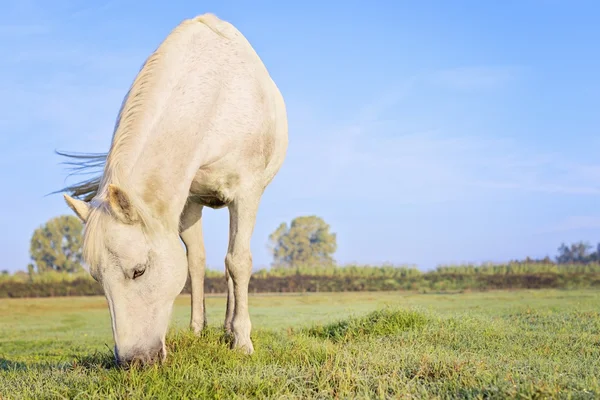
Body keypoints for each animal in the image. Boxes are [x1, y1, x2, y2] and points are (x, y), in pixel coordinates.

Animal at [59, 14, 290, 366]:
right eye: (97, 279)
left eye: (139, 271)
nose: (132, 363)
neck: (215, 99)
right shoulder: (186, 203)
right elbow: (195, 263)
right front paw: (197, 331)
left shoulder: (246, 194)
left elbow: (238, 262)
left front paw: (242, 342)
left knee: (233, 263)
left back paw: (231, 330)